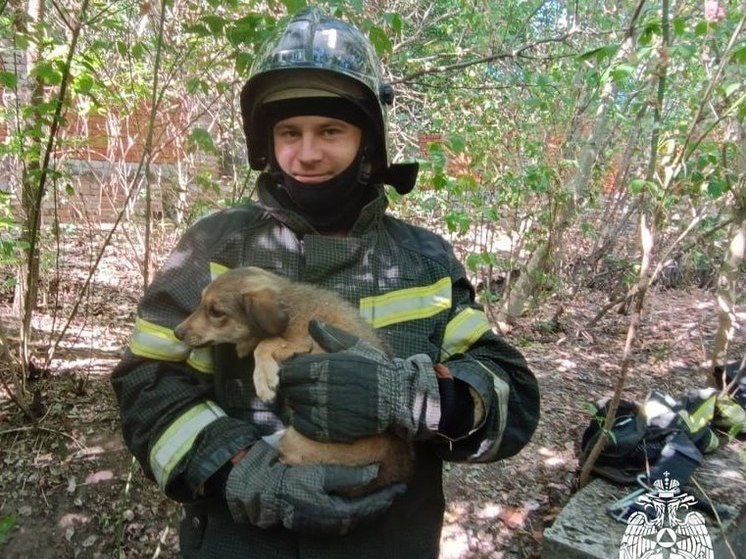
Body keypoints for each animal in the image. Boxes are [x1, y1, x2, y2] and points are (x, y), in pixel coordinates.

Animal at [173, 266, 412, 494]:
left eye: (216, 312)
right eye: (200, 301)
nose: (176, 332)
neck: (290, 307)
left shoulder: (305, 343)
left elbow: (265, 344)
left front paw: (264, 379)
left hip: (295, 442)